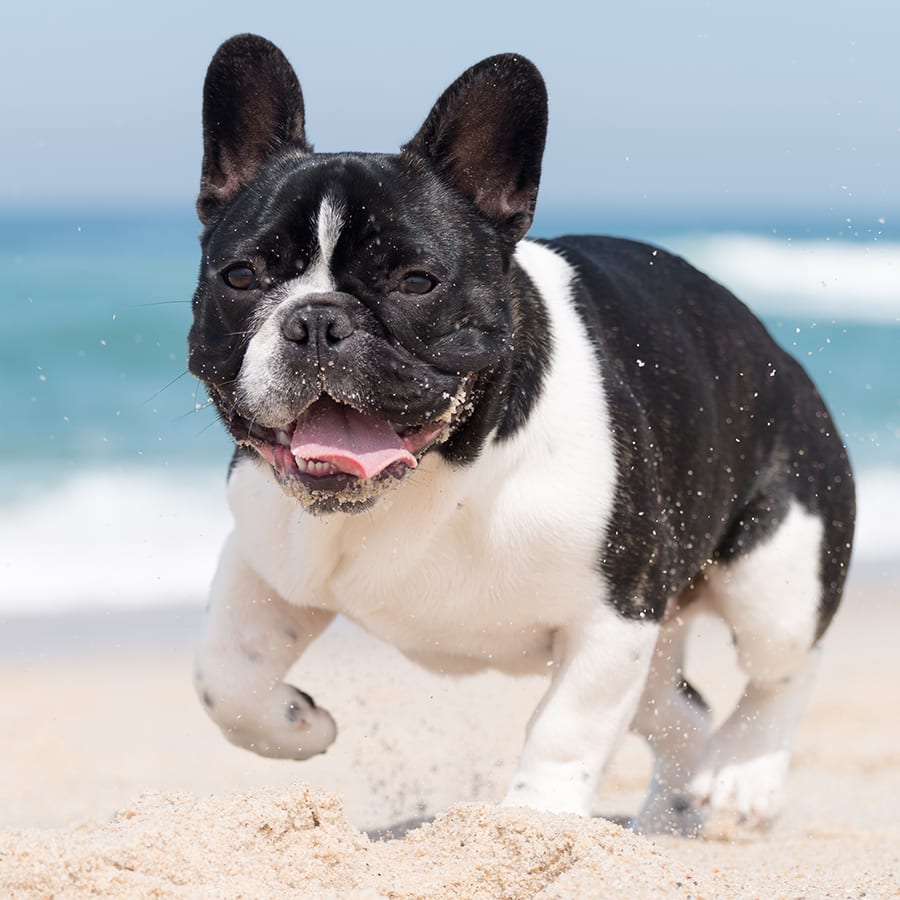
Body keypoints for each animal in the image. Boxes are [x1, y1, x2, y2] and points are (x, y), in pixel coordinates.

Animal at [188, 35, 852, 836]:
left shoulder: (614, 613)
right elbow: (224, 672)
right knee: (682, 712)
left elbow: (566, 728)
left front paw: (533, 826)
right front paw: (295, 722)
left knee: (784, 670)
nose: (317, 319)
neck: (440, 471)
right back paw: (667, 820)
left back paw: (745, 780)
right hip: (662, 637)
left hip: (775, 572)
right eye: (241, 276)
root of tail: (779, 355)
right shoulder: (265, 557)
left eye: (417, 281)